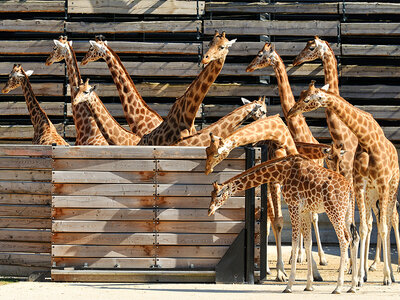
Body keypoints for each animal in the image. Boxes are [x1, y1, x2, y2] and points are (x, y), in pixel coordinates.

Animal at [209, 154, 360, 294]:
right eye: (211, 194)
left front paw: (289, 285)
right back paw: (352, 286)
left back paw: (338, 287)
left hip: (334, 210)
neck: (282, 172)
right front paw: (309, 285)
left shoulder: (293, 205)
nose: (210, 210)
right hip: (347, 212)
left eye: (218, 195)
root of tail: (349, 188)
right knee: (354, 238)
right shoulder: (305, 210)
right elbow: (308, 242)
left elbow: (294, 241)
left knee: (344, 240)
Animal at [247, 42, 328, 270]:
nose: (249, 67)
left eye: (260, 54)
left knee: (312, 216)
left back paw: (317, 257)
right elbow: (277, 219)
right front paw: (288, 260)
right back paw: (296, 256)